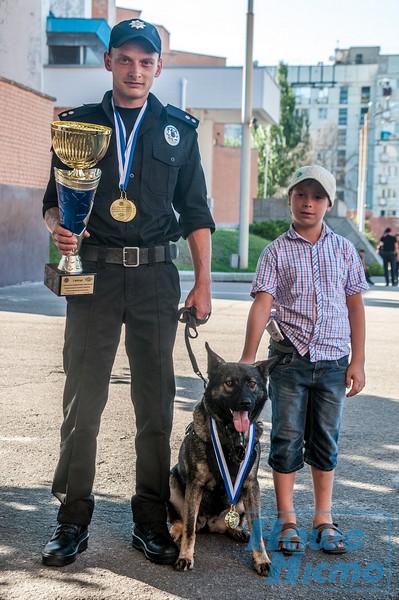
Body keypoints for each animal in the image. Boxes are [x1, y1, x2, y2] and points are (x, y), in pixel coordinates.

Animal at [167, 344, 276, 576]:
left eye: (252, 384)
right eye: (229, 383)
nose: (246, 403)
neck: (231, 439)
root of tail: (209, 523)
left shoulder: (251, 485)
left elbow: (257, 527)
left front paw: (261, 559)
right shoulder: (195, 484)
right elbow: (189, 528)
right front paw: (185, 556)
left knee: (231, 525)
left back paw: (237, 530)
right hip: (172, 482)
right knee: (182, 520)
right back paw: (175, 531)